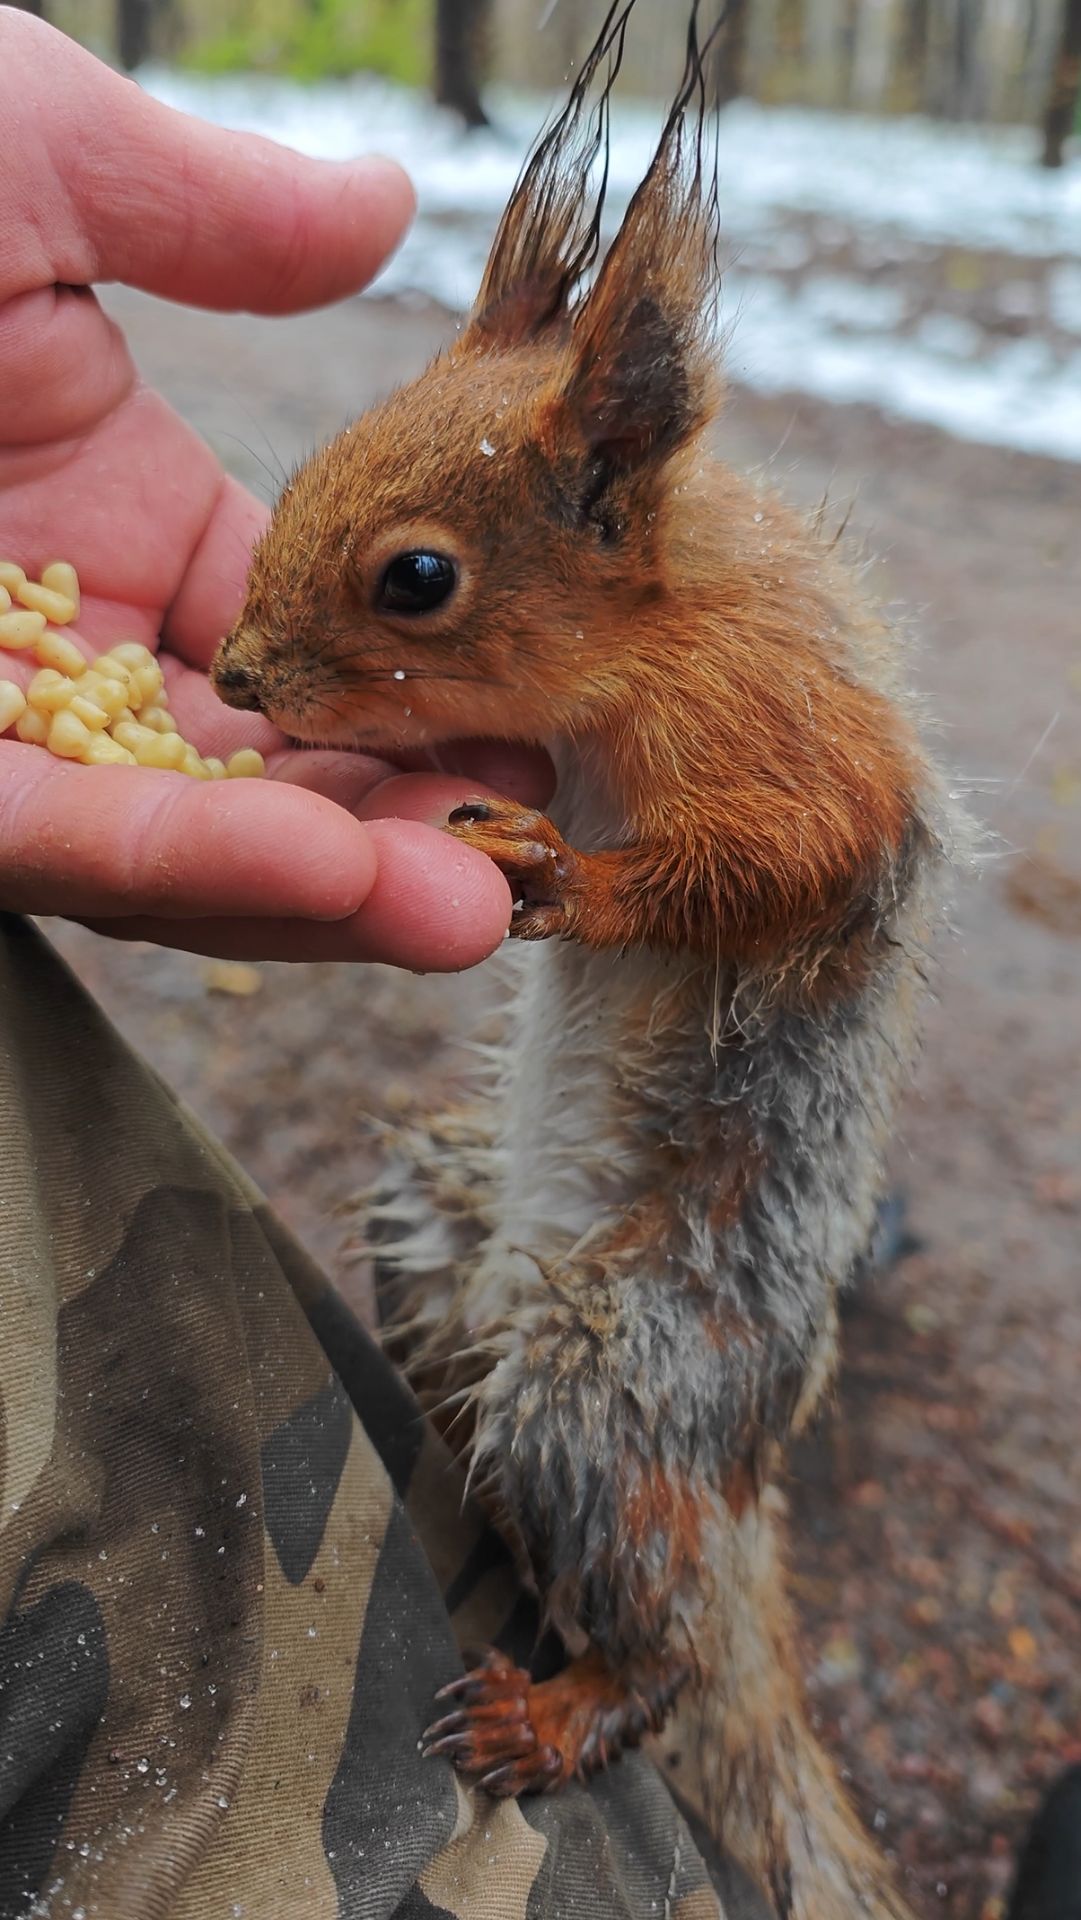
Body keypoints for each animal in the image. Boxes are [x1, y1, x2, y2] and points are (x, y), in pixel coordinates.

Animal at [213, 5, 960, 1914]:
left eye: (418, 578)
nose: (236, 676)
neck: (651, 641)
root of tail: (735, 1487)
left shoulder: (789, 735)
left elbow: (784, 856)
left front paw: (567, 870)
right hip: (439, 1221)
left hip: (607, 1385)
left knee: (666, 1658)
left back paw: (559, 1709)